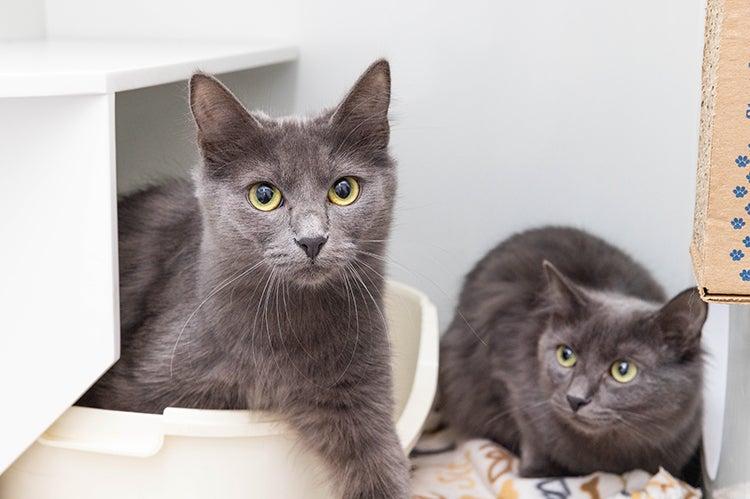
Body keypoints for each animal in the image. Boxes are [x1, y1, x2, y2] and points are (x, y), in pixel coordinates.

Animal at [81, 59, 412, 499]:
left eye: (344, 190)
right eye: (264, 195)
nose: (312, 239)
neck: (283, 333)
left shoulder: (361, 391)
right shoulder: (134, 387)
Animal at [438, 229, 708, 482]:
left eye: (623, 370)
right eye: (566, 355)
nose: (575, 399)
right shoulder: (509, 381)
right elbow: (532, 436)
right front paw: (536, 472)